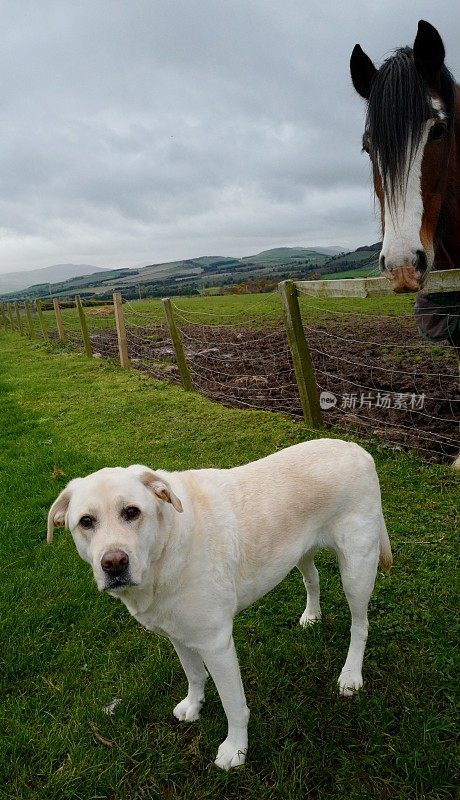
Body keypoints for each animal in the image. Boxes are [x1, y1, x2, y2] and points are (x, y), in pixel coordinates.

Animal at [47, 438, 392, 768]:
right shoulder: (179, 635)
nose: (114, 564)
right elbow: (194, 674)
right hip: (300, 552)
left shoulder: (216, 644)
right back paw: (312, 616)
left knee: (360, 625)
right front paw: (194, 705)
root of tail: (357, 448)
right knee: (314, 578)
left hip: (357, 569)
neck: (167, 548)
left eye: (132, 512)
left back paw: (351, 675)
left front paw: (236, 749)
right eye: (86, 522)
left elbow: (233, 705)